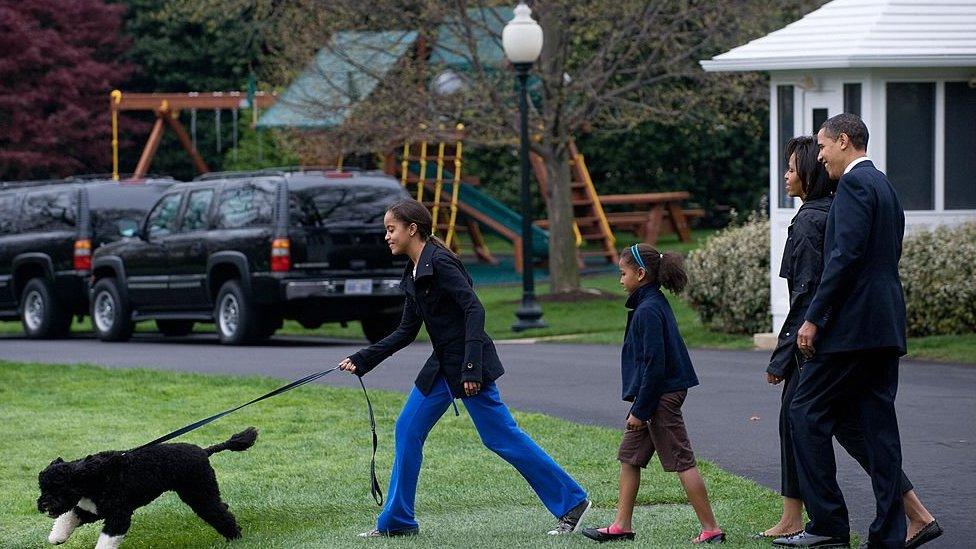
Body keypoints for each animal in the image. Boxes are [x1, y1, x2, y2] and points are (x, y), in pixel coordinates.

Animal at [36, 428, 258, 548]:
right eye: (42, 488)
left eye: (59, 488)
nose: (43, 504)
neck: (92, 476)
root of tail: (204, 451)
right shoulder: (91, 510)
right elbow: (68, 517)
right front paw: (56, 537)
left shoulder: (119, 515)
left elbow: (107, 539)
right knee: (222, 509)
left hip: (200, 494)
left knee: (220, 513)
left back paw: (235, 537)